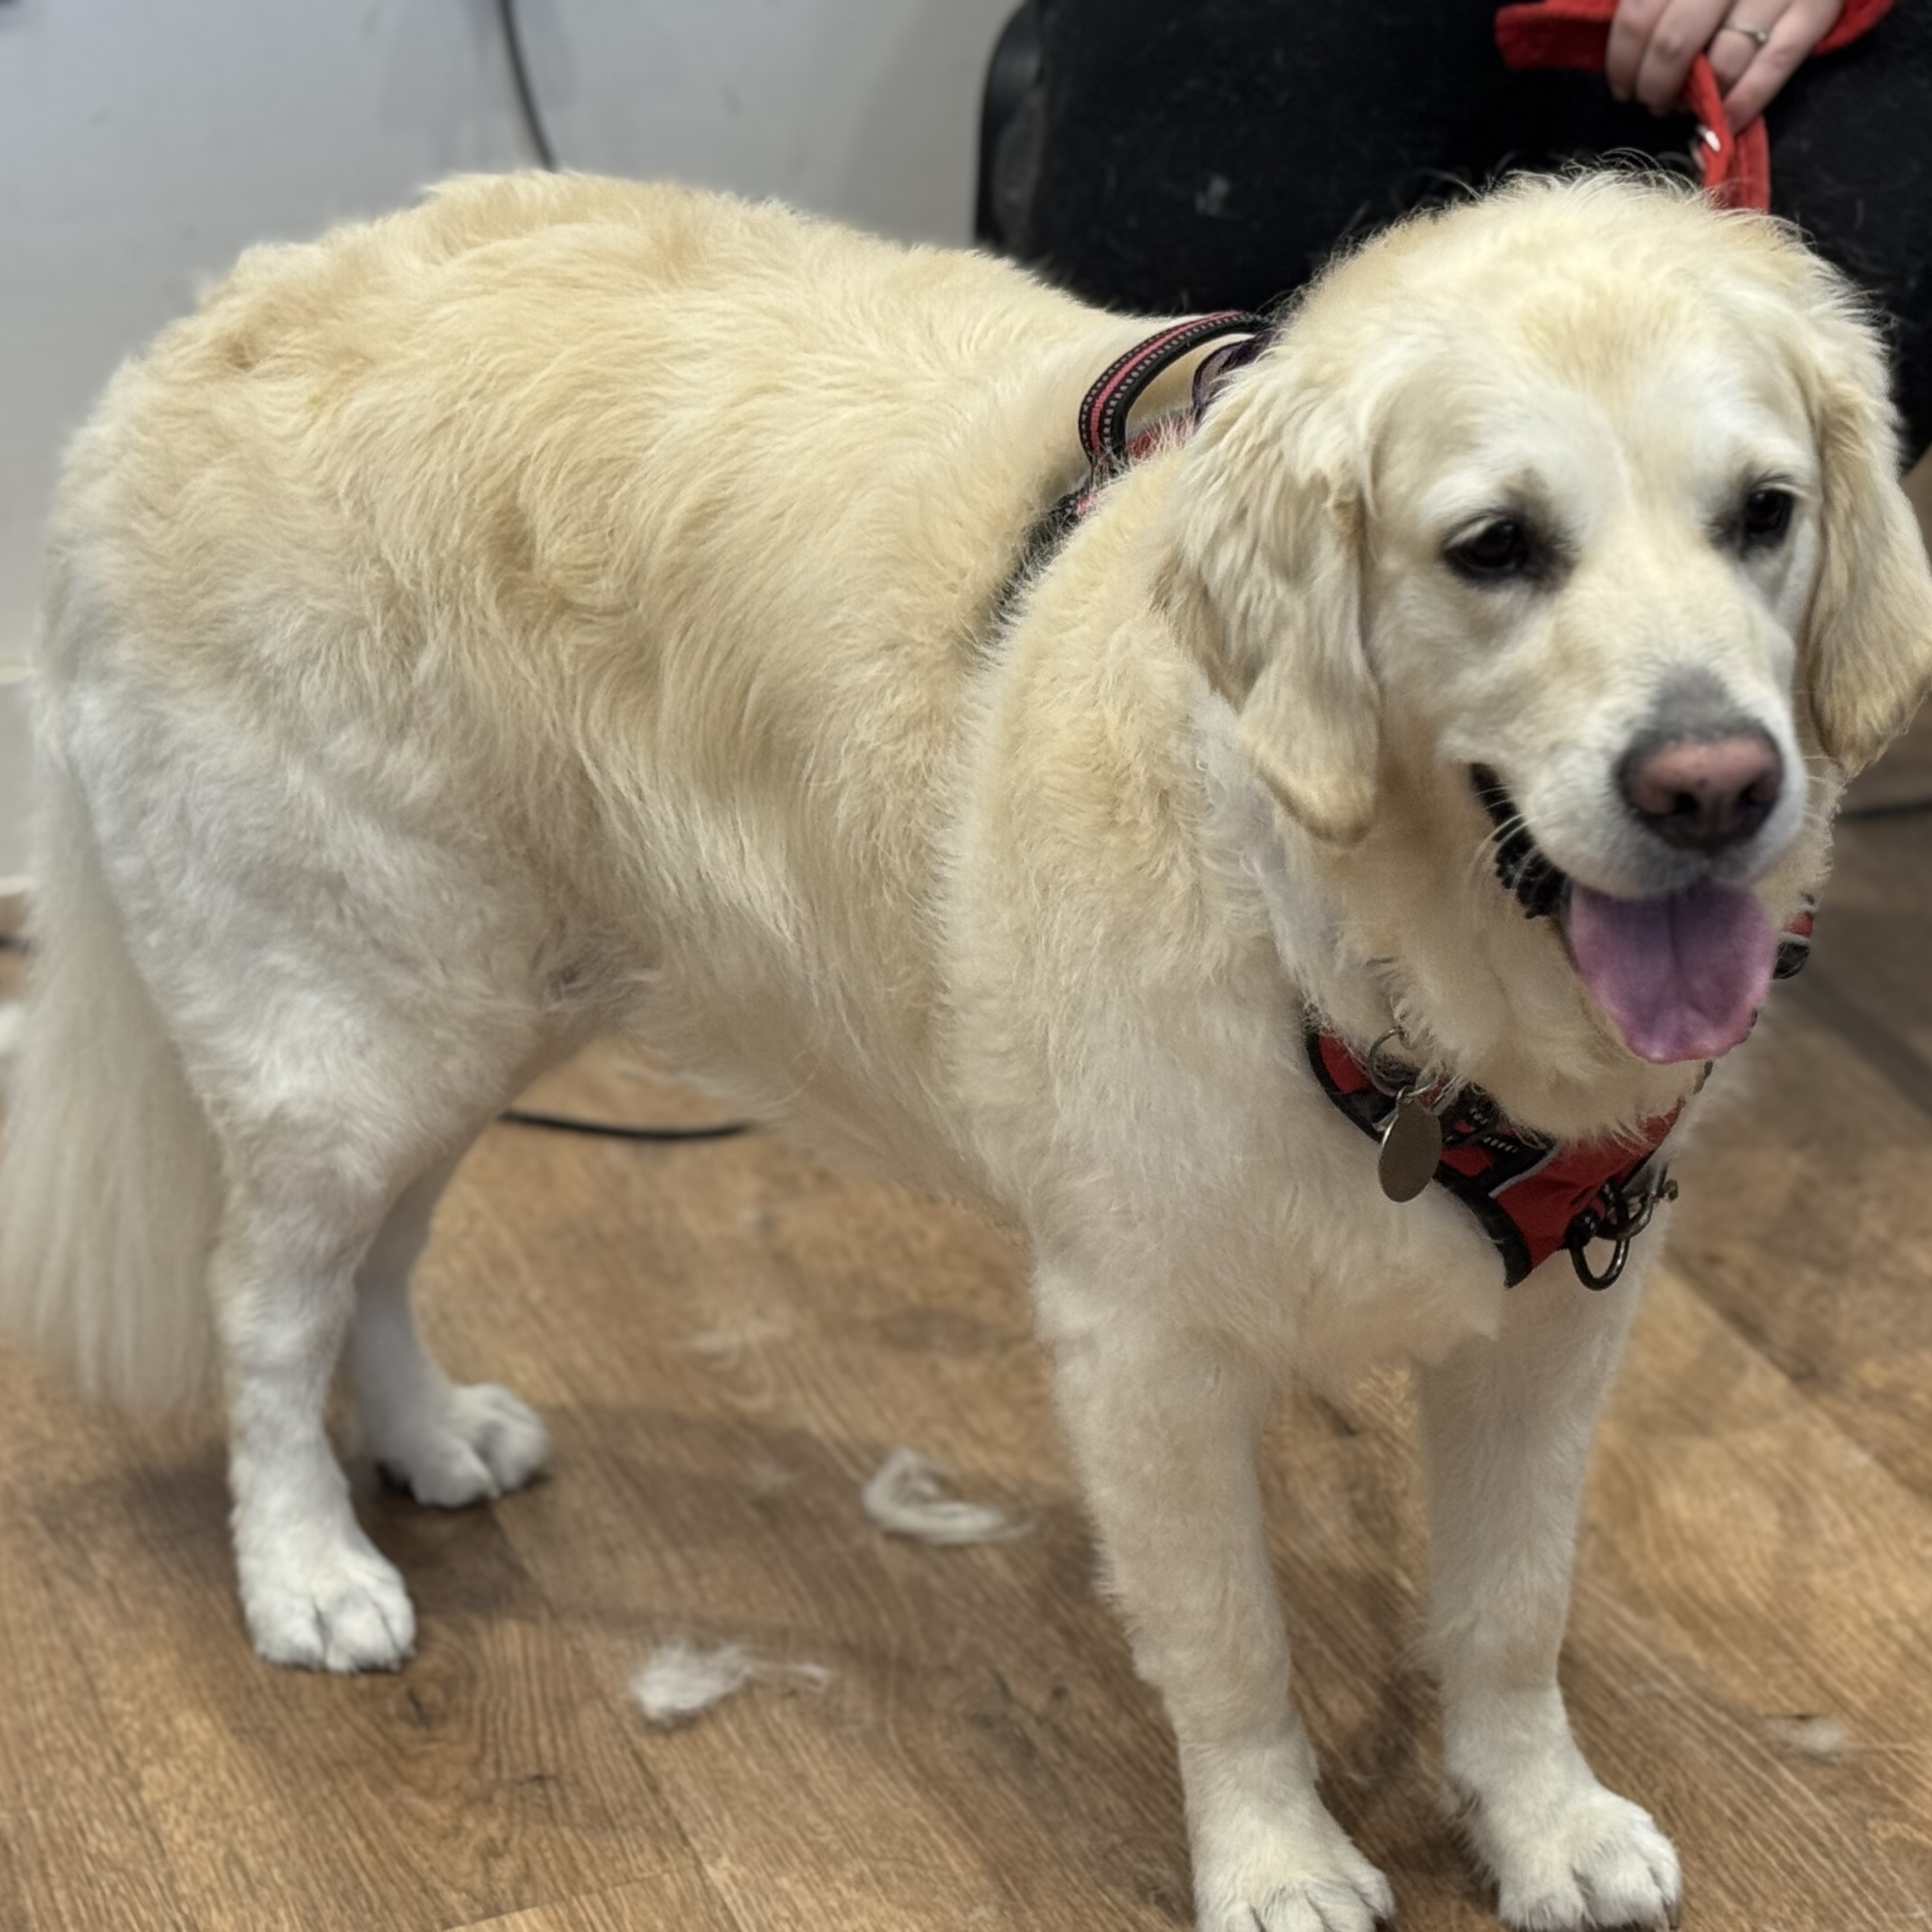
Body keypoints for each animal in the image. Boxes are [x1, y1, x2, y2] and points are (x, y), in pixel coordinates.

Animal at [2, 169, 1929, 1931]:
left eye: (1764, 514)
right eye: (1495, 546)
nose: (1715, 788)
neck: (1368, 953)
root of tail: (179, 345)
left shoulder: (1552, 1330)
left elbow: (1512, 1615)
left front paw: (1545, 1827)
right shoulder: (1146, 1348)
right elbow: (1231, 1646)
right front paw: (1278, 1863)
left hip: (468, 1013)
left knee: (377, 1265)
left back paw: (424, 1438)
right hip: (346, 1028)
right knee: (265, 1305)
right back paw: (307, 1567)